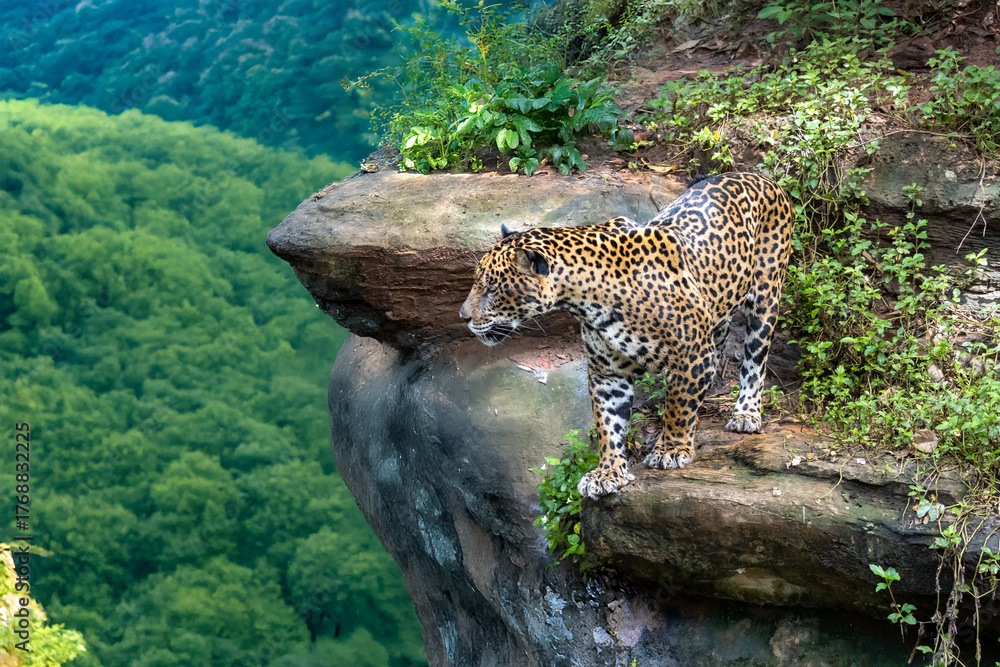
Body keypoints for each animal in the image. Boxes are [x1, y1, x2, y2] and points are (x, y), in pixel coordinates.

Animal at [459, 172, 794, 499]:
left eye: (491, 289)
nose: (463, 316)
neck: (586, 300)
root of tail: (765, 179)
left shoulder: (690, 356)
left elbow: (678, 405)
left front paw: (671, 449)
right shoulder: (608, 373)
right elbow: (608, 424)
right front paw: (607, 473)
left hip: (765, 298)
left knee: (754, 360)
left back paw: (746, 413)